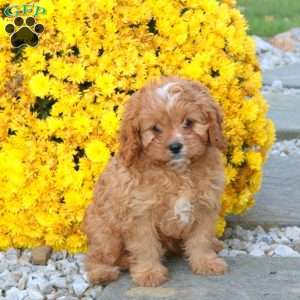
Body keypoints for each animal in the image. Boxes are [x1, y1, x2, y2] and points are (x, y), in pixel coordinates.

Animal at [83, 75, 229, 286]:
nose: (175, 146)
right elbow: (145, 246)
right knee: (96, 255)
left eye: (188, 122)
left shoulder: (205, 207)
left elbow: (201, 239)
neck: (177, 172)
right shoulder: (140, 214)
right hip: (106, 233)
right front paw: (149, 273)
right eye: (155, 129)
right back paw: (104, 271)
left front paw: (206, 263)